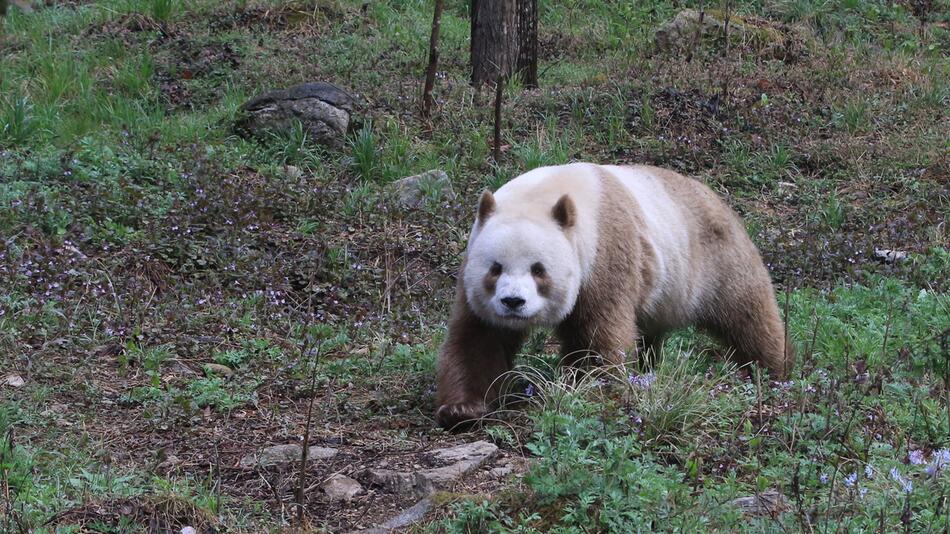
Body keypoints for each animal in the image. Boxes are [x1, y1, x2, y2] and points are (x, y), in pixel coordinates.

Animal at [436, 163, 796, 432]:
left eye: (539, 270)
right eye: (495, 268)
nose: (513, 302)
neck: (546, 194)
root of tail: (715, 195)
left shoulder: (604, 254)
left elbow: (599, 335)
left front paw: (588, 390)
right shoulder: (473, 272)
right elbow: (479, 338)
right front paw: (462, 410)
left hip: (713, 259)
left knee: (747, 314)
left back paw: (775, 371)